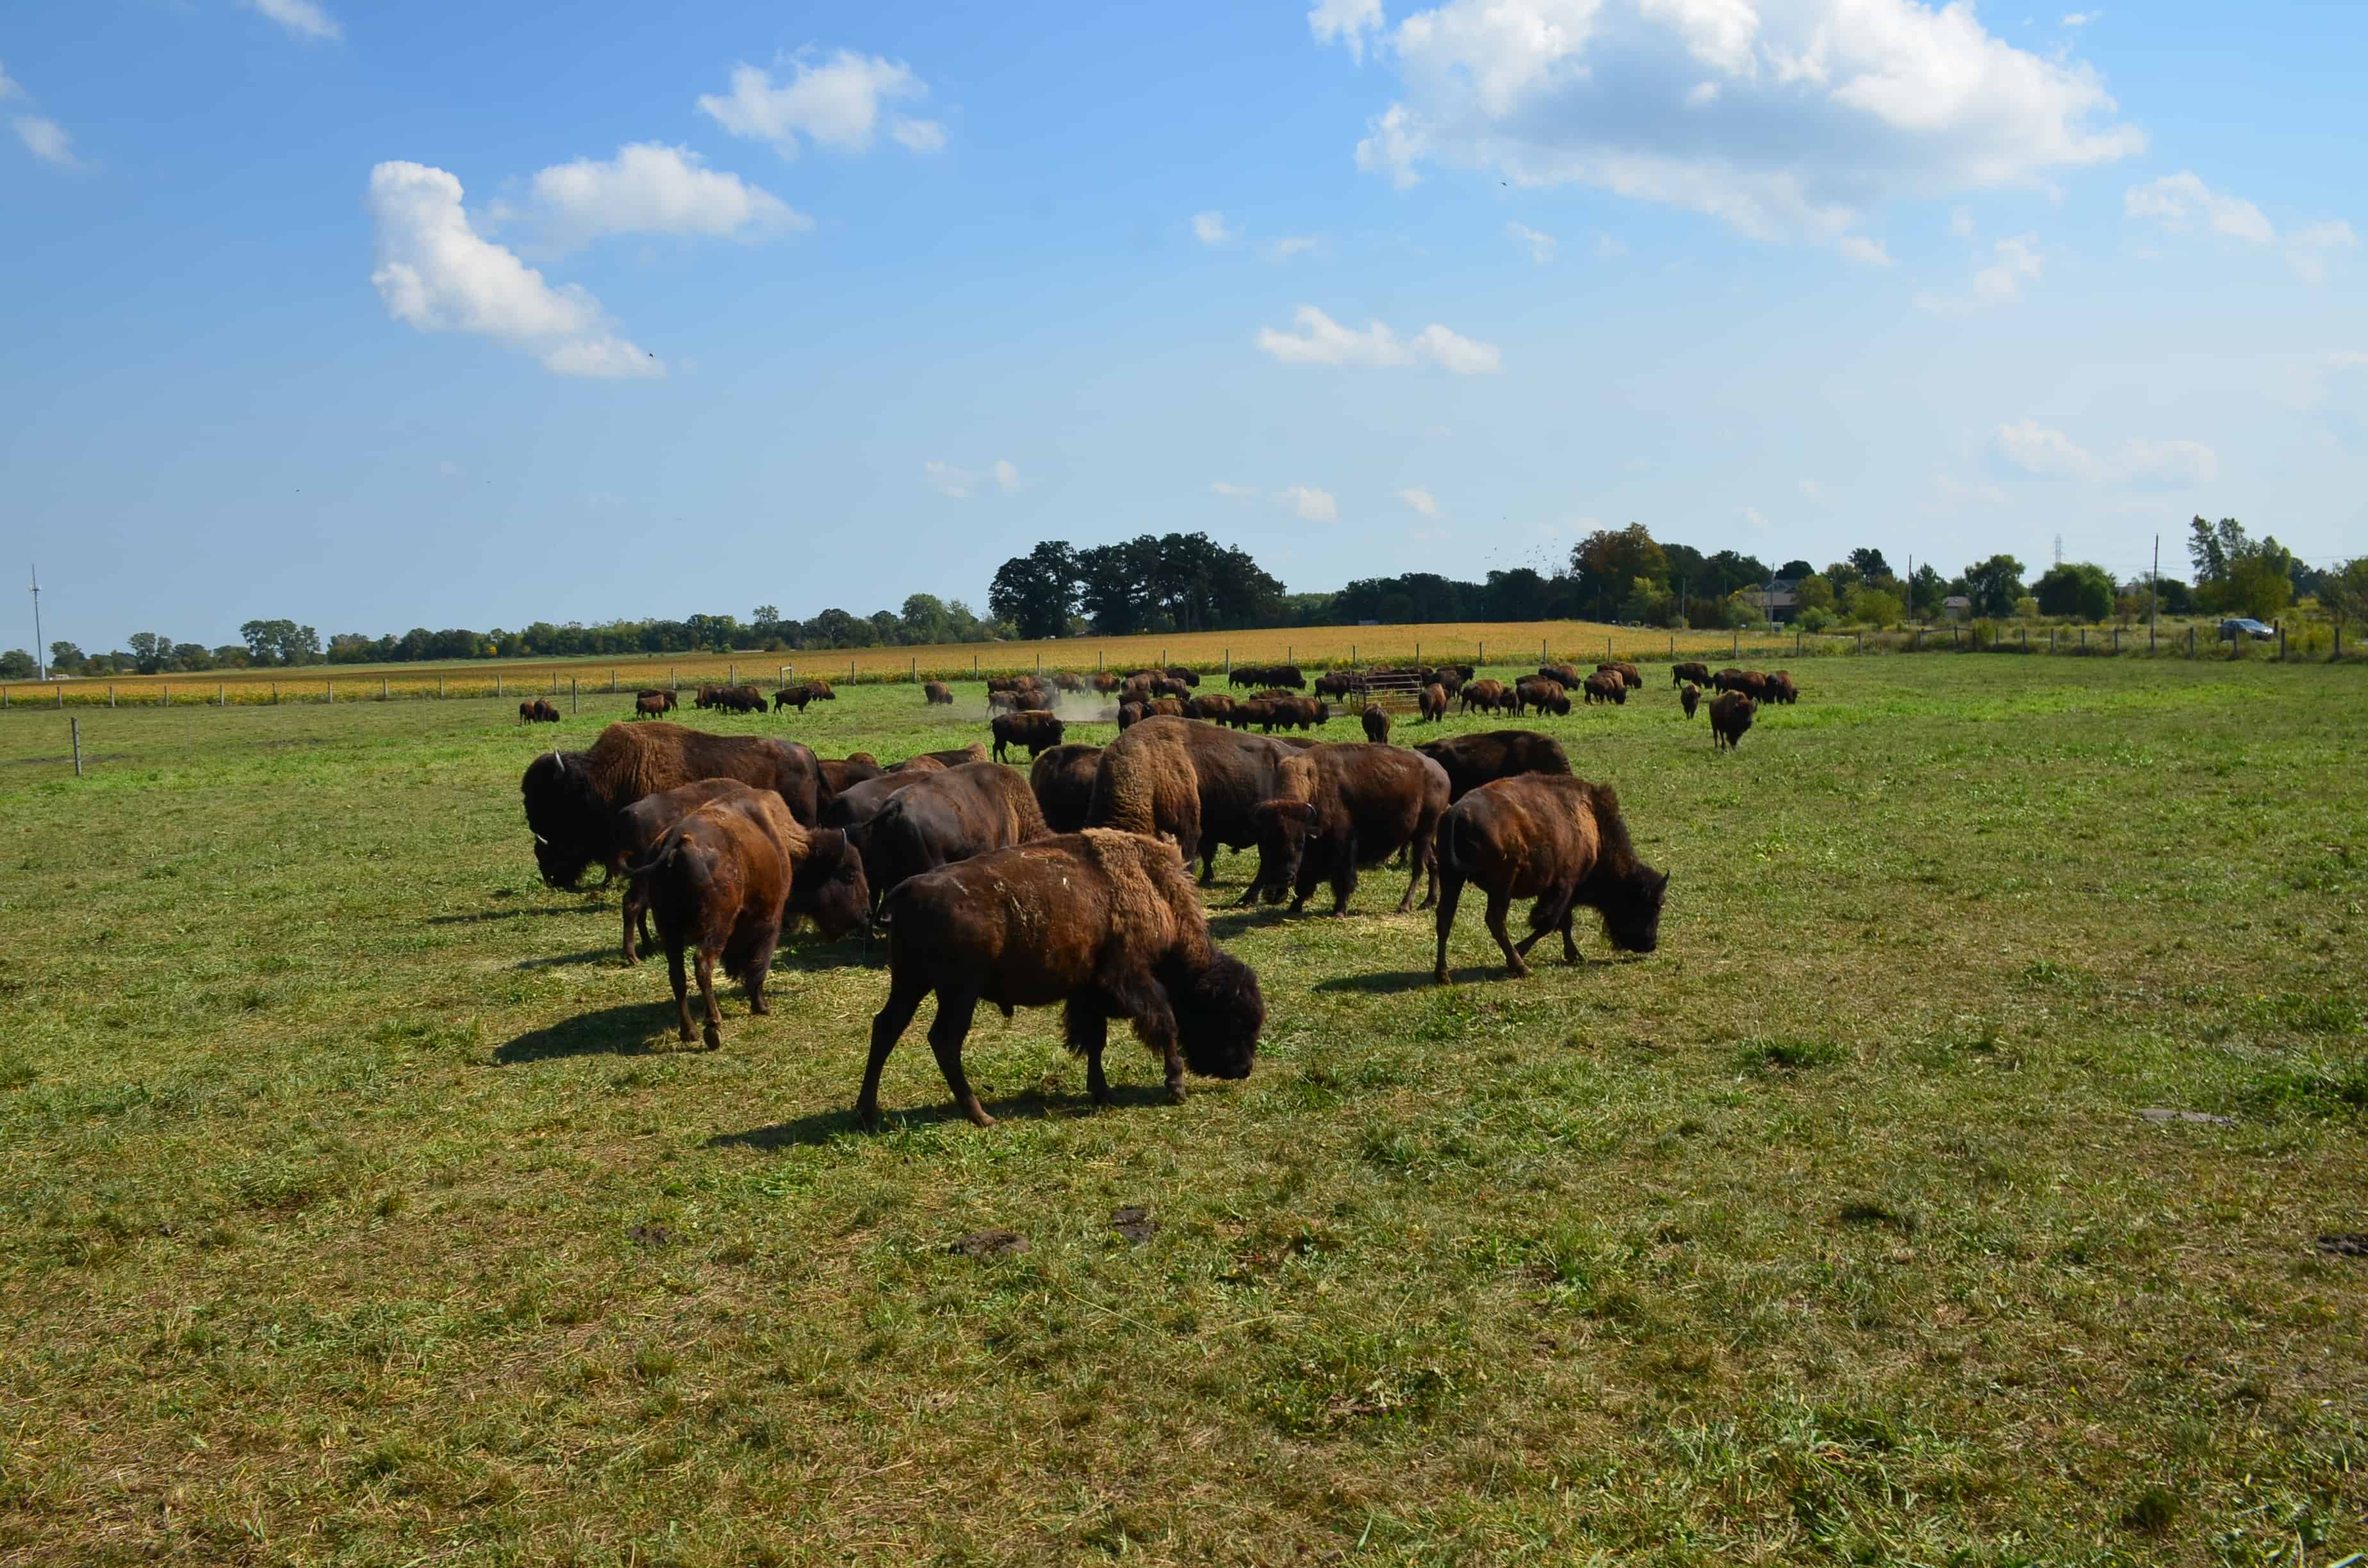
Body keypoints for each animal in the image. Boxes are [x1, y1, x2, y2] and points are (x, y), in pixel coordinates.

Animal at [639, 786, 871, 1056]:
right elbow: (758, 965)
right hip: (715, 928)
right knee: (702, 965)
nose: (866, 913)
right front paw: (762, 1006)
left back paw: (690, 1033)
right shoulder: (769, 921)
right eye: (849, 875)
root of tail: (676, 841)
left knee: (677, 976)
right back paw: (713, 1029)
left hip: (669, 932)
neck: (783, 840)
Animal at [852, 833, 1260, 1132]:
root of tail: (906, 891)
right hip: (958, 993)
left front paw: (1101, 1091)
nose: (1244, 1069)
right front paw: (1176, 1087)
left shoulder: (1090, 991)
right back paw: (980, 1115)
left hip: (911, 984)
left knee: (886, 1028)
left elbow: (1095, 1041)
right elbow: (1165, 1024)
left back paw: (868, 1113)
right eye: (1229, 1015)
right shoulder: (1132, 979)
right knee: (944, 1041)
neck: (1154, 891)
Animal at [1420, 772, 1666, 985]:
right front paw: (1523, 951)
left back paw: (1443, 975)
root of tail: (1456, 814)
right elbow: (1549, 923)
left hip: (1453, 878)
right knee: (1495, 920)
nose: (1651, 944)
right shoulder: (1564, 886)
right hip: (1501, 885)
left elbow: (1564, 922)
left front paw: (1574, 955)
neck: (1595, 827)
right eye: (1652, 906)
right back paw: (1520, 967)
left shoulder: (1567, 891)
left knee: (1445, 918)